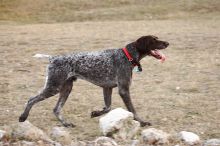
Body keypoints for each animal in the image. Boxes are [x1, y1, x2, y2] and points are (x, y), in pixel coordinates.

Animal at [19, 35, 170, 126]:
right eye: (154, 40)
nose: (167, 43)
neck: (127, 56)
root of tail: (53, 58)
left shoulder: (107, 88)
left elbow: (108, 108)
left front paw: (96, 113)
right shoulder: (123, 90)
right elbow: (132, 110)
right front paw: (142, 122)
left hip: (66, 89)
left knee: (56, 109)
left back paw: (66, 124)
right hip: (53, 87)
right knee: (31, 100)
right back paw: (23, 117)